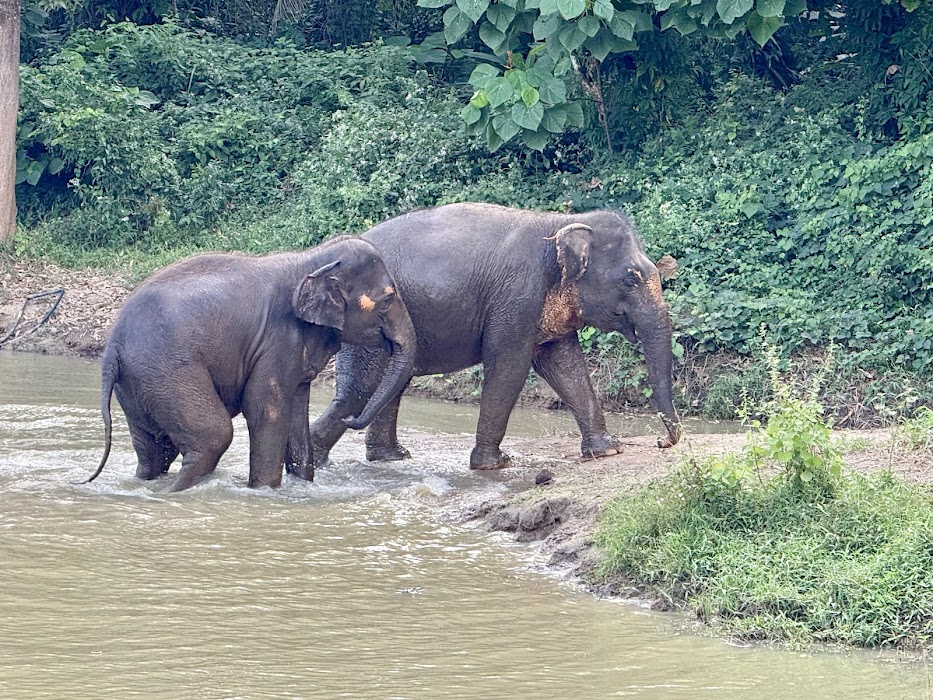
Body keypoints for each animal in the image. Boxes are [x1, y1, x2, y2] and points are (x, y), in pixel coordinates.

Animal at [84, 236, 416, 492]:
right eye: (388, 299)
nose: (350, 419)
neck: (309, 259)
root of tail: (111, 345)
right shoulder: (276, 340)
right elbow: (265, 410)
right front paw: (265, 492)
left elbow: (296, 412)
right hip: (165, 371)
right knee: (213, 437)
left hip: (138, 384)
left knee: (155, 450)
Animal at [303, 202, 682, 474]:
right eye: (630, 279)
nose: (662, 442)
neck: (559, 224)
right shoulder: (516, 297)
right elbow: (509, 367)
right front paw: (494, 464)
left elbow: (565, 366)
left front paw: (607, 450)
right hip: (366, 322)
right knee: (361, 388)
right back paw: (315, 464)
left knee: (388, 383)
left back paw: (391, 458)